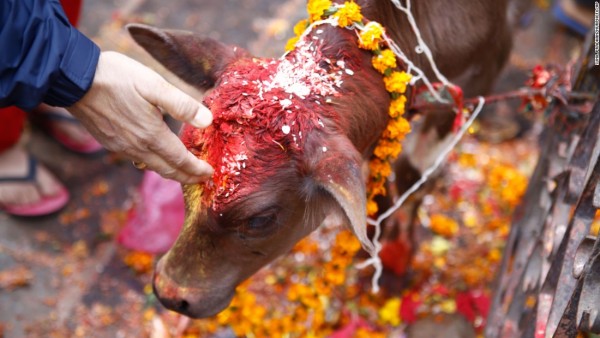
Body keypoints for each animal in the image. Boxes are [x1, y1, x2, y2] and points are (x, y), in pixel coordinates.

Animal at [130, 0, 520, 316]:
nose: (169, 293)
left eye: (260, 219)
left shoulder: (482, 70)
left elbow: (414, 173)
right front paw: (373, 244)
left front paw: (395, 259)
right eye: (182, 181)